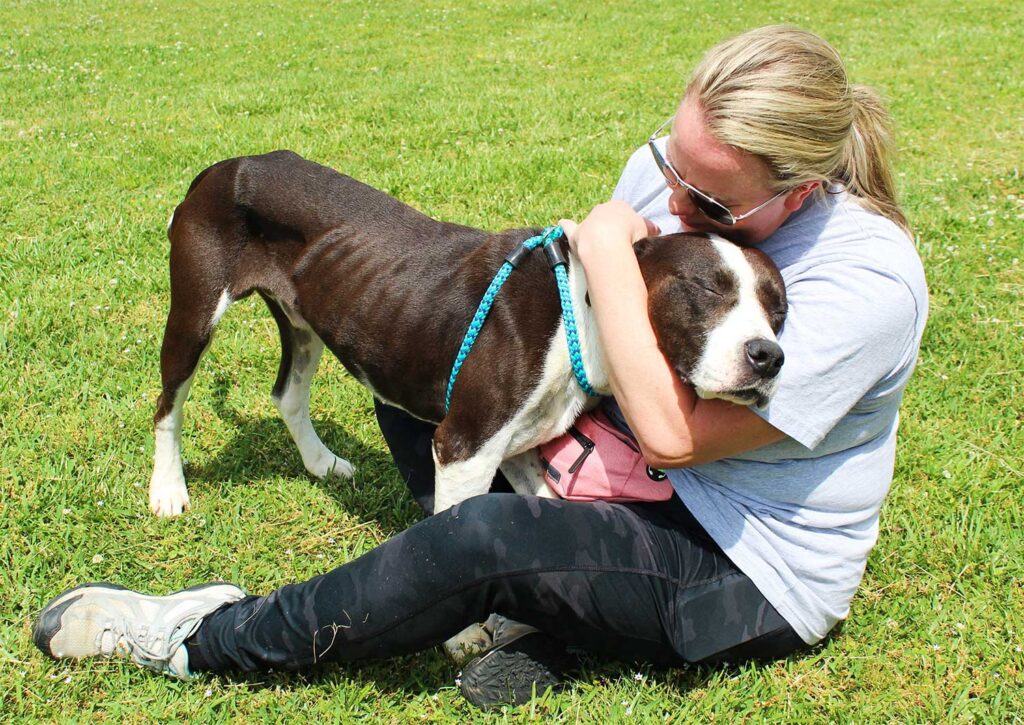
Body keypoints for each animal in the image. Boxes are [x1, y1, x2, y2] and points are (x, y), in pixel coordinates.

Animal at [148, 150, 786, 516]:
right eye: (707, 288)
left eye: (780, 310)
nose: (769, 357)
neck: (576, 315)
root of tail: (225, 167)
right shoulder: (462, 449)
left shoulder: (514, 448)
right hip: (195, 311)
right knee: (168, 403)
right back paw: (168, 491)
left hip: (303, 318)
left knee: (286, 394)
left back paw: (322, 463)